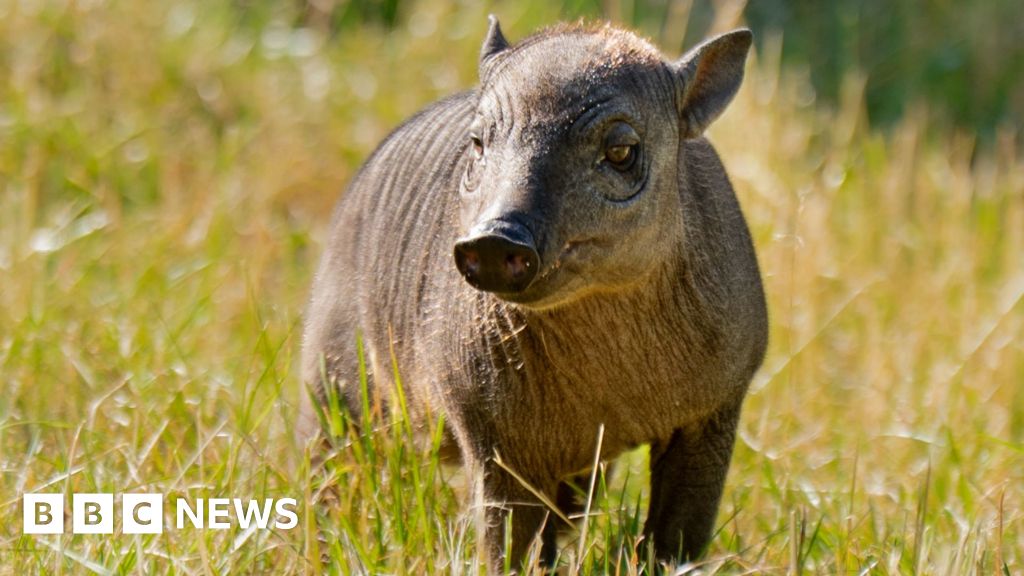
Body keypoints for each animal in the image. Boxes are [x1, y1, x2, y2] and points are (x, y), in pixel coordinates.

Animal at [300, 16, 768, 571]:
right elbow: (507, 547)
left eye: (621, 151)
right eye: (478, 142)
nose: (494, 240)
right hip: (331, 391)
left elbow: (676, 542)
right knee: (326, 476)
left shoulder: (714, 416)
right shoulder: (495, 443)